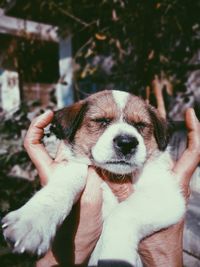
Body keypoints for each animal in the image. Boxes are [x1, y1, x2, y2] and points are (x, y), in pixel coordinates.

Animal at [2, 91, 185, 266]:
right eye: (101, 121)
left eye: (140, 125)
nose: (127, 143)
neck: (113, 176)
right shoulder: (75, 167)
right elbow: (61, 186)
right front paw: (32, 221)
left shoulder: (167, 194)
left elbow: (122, 213)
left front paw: (116, 257)